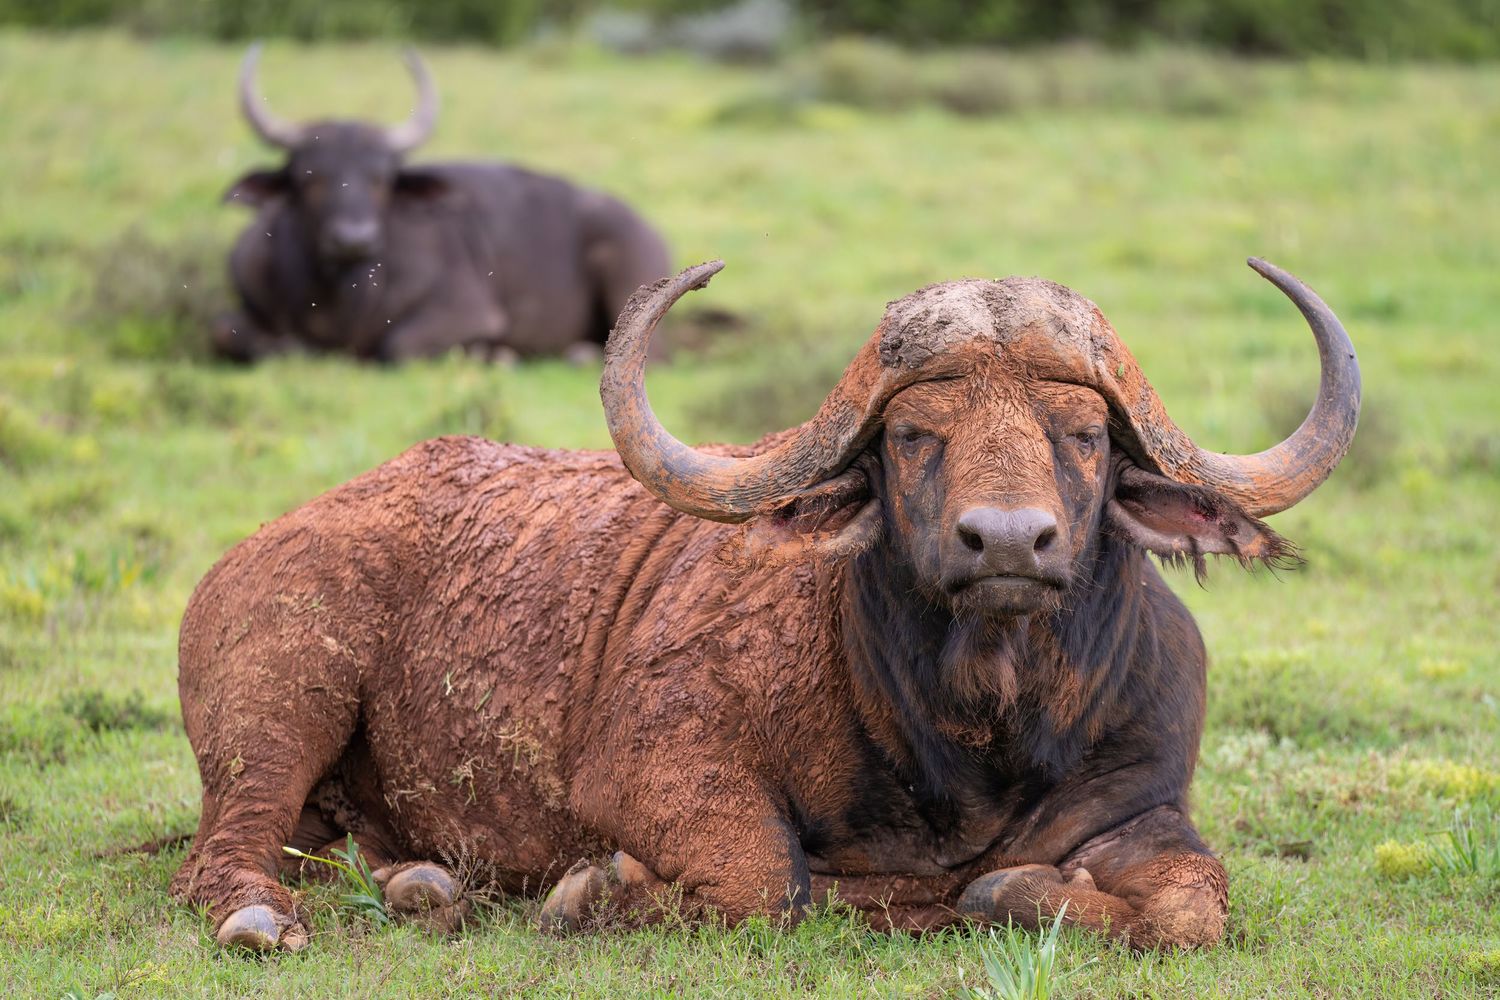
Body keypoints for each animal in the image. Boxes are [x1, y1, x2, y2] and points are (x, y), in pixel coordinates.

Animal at [172, 258, 1358, 952]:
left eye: (1084, 435)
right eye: (913, 434)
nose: (1009, 542)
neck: (972, 736)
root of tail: (264, 544)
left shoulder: (1147, 802)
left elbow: (1189, 904)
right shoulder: (653, 765)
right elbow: (765, 879)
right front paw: (597, 892)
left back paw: (424, 882)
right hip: (280, 701)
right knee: (220, 853)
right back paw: (260, 916)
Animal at [215, 45, 671, 363]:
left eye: (381, 179)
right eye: (311, 177)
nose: (353, 240)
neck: (338, 299)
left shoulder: (469, 312)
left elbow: (397, 344)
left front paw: (496, 355)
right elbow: (235, 334)